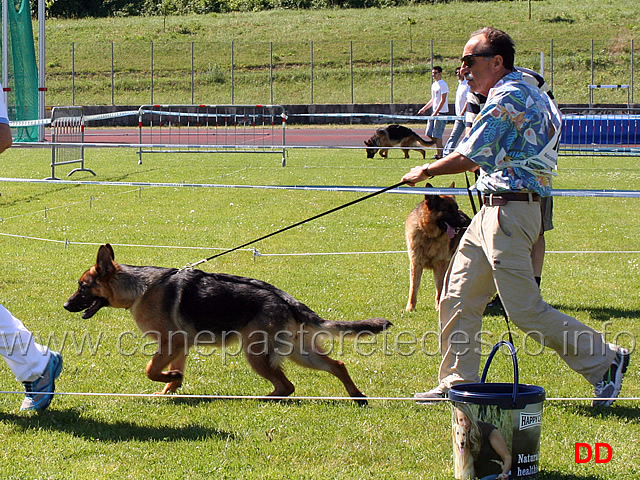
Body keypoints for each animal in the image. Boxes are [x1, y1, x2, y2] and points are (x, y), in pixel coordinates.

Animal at [404, 184, 470, 312]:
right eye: (447, 210)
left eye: (456, 208)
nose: (464, 222)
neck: (429, 235)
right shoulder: (416, 264)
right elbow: (413, 288)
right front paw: (410, 307)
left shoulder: (440, 265)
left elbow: (439, 287)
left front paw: (439, 306)